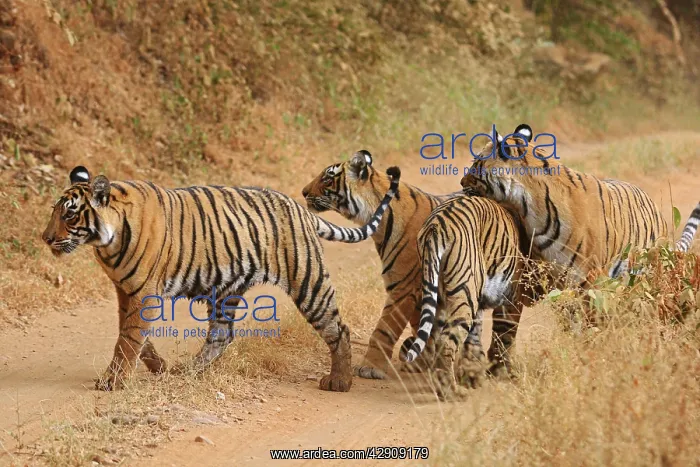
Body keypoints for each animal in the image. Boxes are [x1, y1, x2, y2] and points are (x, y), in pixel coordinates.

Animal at [41, 164, 401, 392]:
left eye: (70, 214)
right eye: (54, 211)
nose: (45, 238)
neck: (107, 243)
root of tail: (301, 209)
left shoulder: (143, 293)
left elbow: (128, 338)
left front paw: (112, 382)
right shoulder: (124, 290)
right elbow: (131, 335)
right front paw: (157, 366)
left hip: (308, 281)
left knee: (338, 329)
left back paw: (339, 382)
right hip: (225, 291)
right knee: (221, 335)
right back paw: (186, 372)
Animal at [302, 150, 529, 379]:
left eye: (327, 179)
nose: (303, 192)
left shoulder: (403, 286)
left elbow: (385, 328)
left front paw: (370, 367)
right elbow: (422, 326)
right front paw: (421, 361)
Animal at [401, 194, 535, 399]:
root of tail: (435, 225)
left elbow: (475, 335)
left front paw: (474, 372)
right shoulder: (510, 299)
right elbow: (505, 334)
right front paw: (501, 372)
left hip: (440, 293)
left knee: (433, 338)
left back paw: (438, 384)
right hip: (464, 293)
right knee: (446, 341)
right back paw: (451, 392)